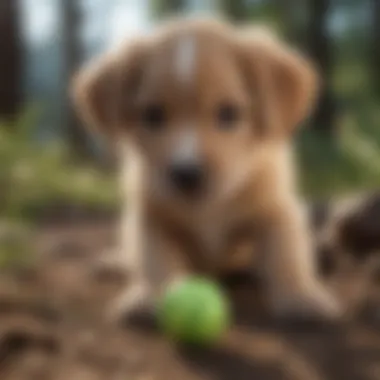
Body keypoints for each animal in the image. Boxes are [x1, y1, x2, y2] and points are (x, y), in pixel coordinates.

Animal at [71, 17, 342, 320]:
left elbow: (286, 255)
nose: (186, 173)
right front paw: (150, 297)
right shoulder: (150, 216)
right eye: (153, 115)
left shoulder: (277, 209)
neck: (209, 208)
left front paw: (301, 297)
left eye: (228, 113)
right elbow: (153, 259)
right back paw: (112, 262)